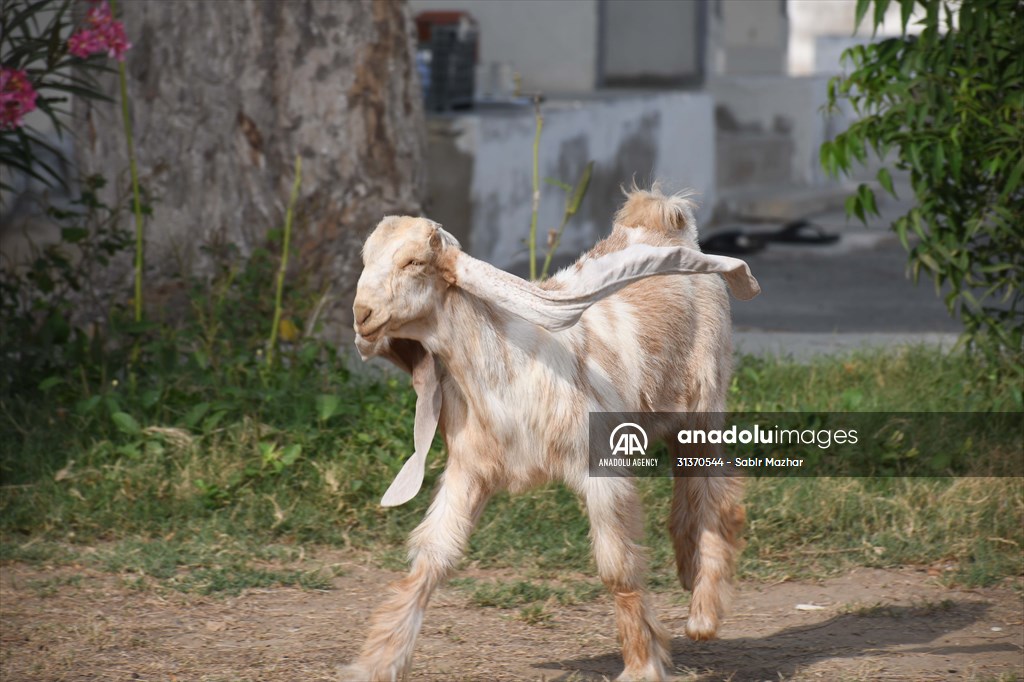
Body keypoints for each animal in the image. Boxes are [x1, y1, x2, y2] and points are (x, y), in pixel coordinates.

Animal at [344, 186, 761, 679]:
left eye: (413, 262)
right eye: (366, 258)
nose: (362, 315)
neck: (511, 363)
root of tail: (663, 219)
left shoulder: (600, 466)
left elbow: (617, 567)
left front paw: (643, 663)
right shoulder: (470, 469)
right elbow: (432, 556)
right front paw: (377, 663)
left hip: (704, 400)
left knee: (719, 488)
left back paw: (703, 614)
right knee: (689, 485)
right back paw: (686, 567)